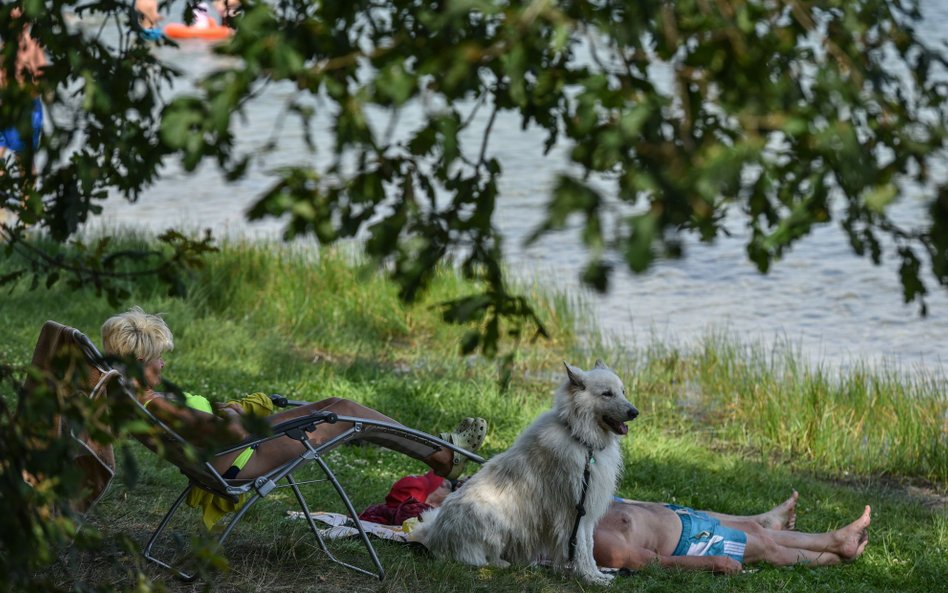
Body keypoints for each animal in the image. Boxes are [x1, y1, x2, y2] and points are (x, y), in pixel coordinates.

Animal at [412, 360, 640, 584]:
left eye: (623, 392)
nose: (635, 412)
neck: (581, 439)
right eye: (607, 394)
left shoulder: (586, 514)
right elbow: (581, 549)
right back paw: (502, 564)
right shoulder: (574, 513)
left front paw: (598, 575)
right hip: (493, 518)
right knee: (479, 558)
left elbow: (589, 547)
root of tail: (433, 536)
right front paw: (589, 578)